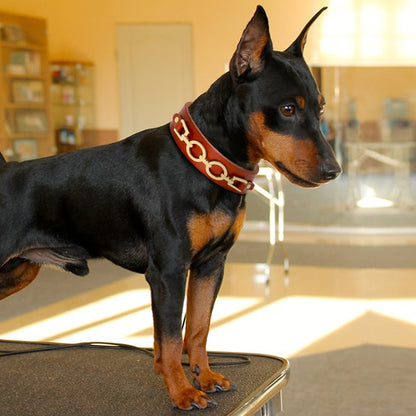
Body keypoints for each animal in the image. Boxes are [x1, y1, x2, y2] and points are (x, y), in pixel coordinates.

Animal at [0, 5, 342, 410]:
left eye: (321, 109)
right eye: (287, 109)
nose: (334, 170)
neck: (202, 165)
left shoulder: (210, 266)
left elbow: (197, 329)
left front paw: (205, 377)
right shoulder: (168, 273)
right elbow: (170, 341)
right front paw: (182, 392)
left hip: (18, 272)